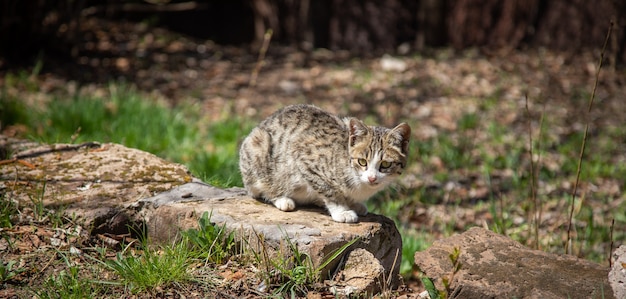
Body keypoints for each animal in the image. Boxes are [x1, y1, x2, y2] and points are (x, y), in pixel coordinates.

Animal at [236, 104, 408, 224]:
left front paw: (354, 204)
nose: (372, 178)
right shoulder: (304, 158)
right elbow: (329, 190)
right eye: (362, 161)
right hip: (258, 145)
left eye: (385, 164)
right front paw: (342, 211)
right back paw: (282, 199)